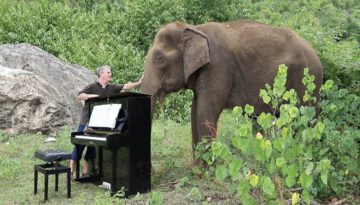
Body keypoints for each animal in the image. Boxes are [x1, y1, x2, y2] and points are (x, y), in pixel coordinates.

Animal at [139, 19, 322, 149]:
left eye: (159, 59)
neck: (194, 29)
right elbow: (195, 110)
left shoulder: (218, 66)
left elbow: (206, 111)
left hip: (306, 79)